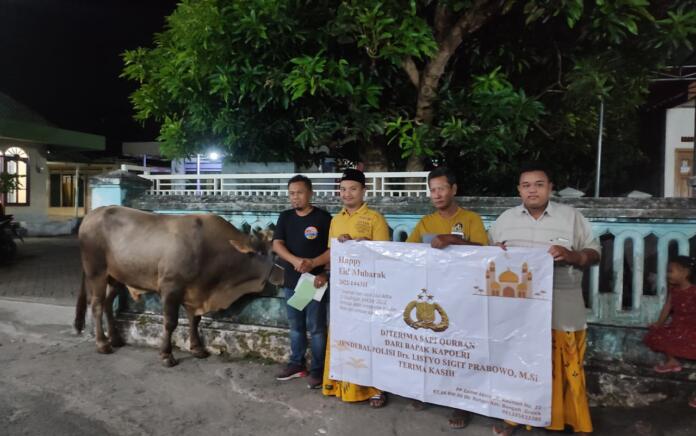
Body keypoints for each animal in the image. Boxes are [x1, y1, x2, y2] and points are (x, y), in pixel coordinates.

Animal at [73, 206, 282, 366]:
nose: (282, 274)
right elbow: (170, 322)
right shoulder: (170, 287)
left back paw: (115, 339)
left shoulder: (195, 291)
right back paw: (102, 344)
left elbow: (195, 319)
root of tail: (90, 215)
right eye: (265, 253)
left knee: (108, 303)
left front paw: (197, 348)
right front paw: (167, 355)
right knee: (97, 305)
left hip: (116, 277)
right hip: (96, 272)